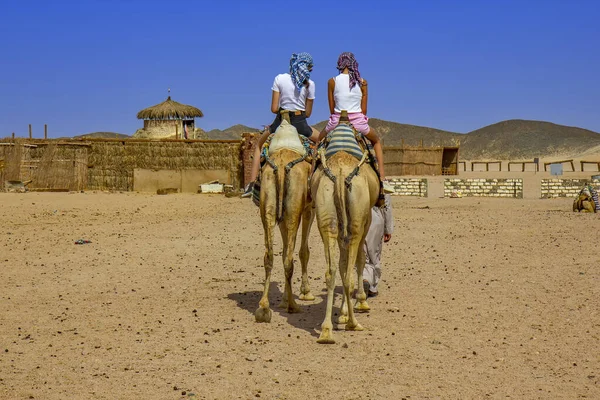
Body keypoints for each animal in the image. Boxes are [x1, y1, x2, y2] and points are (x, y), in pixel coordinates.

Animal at [254, 117, 316, 324]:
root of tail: (280, 166)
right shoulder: (308, 209)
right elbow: (304, 251)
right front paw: (305, 292)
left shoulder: (282, 217)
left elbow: (282, 253)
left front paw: (281, 300)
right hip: (293, 211)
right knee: (289, 258)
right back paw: (293, 306)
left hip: (269, 208)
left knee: (269, 256)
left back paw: (264, 308)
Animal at [312, 122, 378, 344]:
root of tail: (340, 174)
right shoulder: (364, 223)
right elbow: (359, 260)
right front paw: (360, 304)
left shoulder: (342, 233)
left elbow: (340, 265)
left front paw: (340, 314)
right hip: (356, 222)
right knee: (349, 271)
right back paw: (353, 323)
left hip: (327, 220)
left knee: (331, 271)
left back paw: (326, 331)